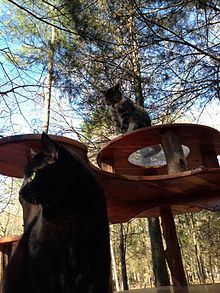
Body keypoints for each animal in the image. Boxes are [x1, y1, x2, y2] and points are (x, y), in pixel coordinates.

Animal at [2, 132, 110, 292]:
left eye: (33, 174)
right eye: (24, 176)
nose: (20, 191)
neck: (69, 212)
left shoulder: (97, 259)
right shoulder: (42, 263)